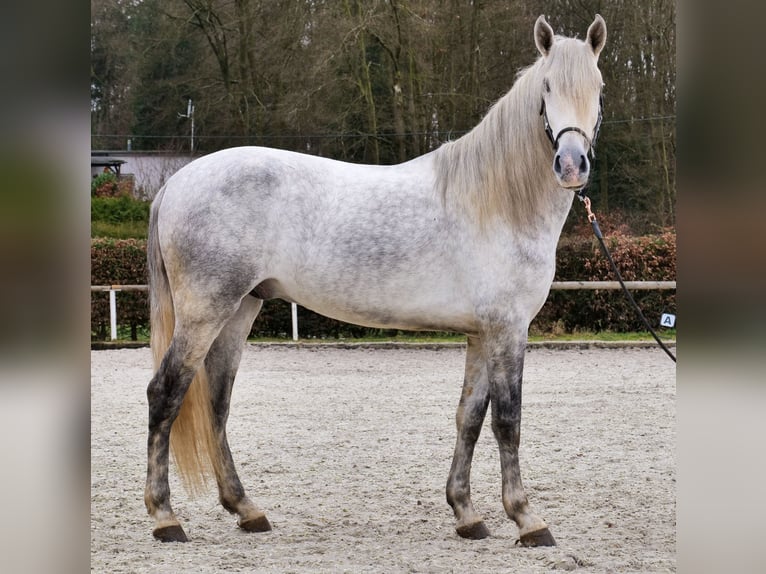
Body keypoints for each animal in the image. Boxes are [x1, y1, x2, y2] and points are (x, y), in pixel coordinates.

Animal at [144, 14, 607, 546]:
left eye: (599, 87)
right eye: (548, 87)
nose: (571, 165)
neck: (498, 202)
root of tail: (176, 183)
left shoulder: (480, 334)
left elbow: (468, 417)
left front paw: (466, 513)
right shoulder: (508, 329)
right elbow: (507, 420)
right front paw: (527, 518)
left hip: (240, 309)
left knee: (216, 403)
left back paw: (246, 509)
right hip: (205, 311)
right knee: (165, 393)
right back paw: (165, 517)